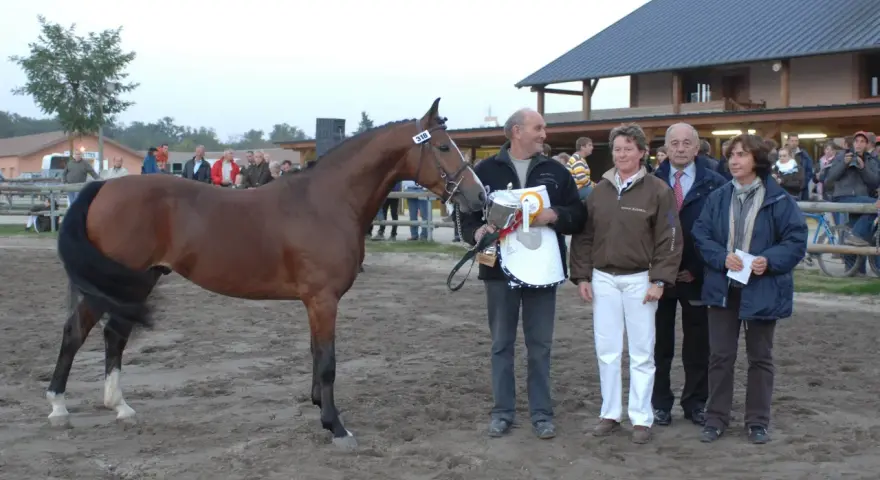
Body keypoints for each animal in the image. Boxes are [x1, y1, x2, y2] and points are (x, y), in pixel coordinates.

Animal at [47, 97, 486, 449]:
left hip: (136, 282)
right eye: (444, 146)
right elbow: (328, 361)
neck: (326, 201)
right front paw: (336, 427)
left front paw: (318, 407)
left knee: (113, 336)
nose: (479, 197)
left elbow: (316, 355)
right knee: (76, 332)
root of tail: (103, 187)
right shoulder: (323, 299)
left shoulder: (314, 302)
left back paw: (119, 406)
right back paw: (58, 408)